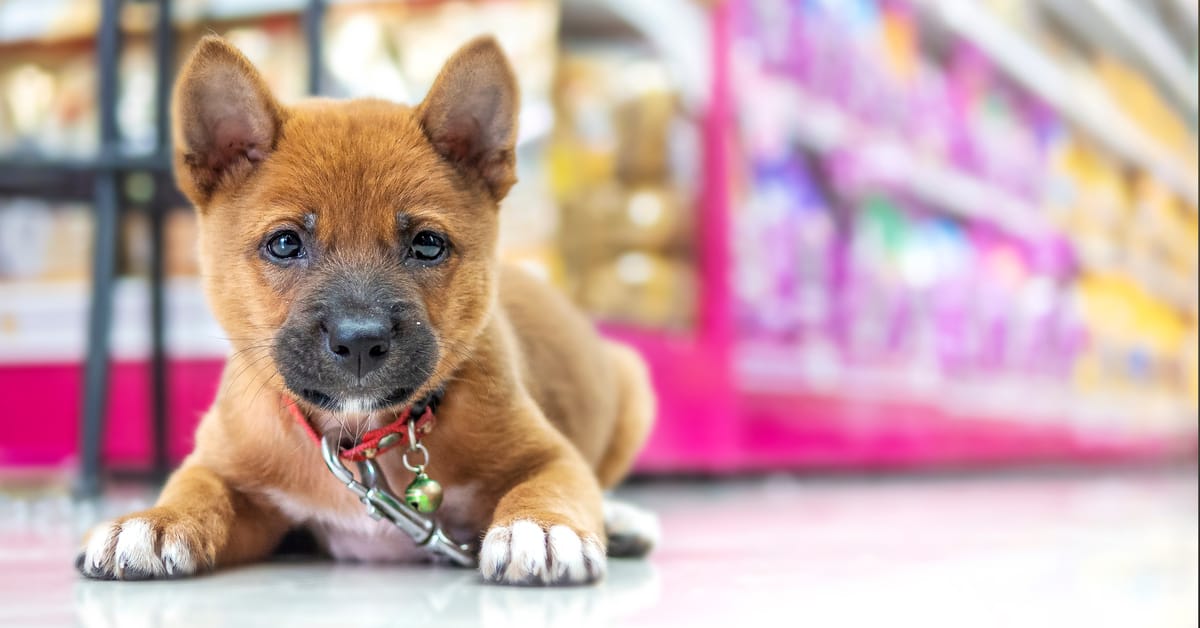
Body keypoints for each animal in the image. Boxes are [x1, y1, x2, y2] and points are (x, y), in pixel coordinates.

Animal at [75, 35, 657, 585]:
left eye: (427, 245)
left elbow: (552, 486)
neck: (360, 437)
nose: (359, 341)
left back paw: (620, 519)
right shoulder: (230, 473)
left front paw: (540, 529)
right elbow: (197, 486)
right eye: (284, 244)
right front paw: (154, 521)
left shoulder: (551, 455)